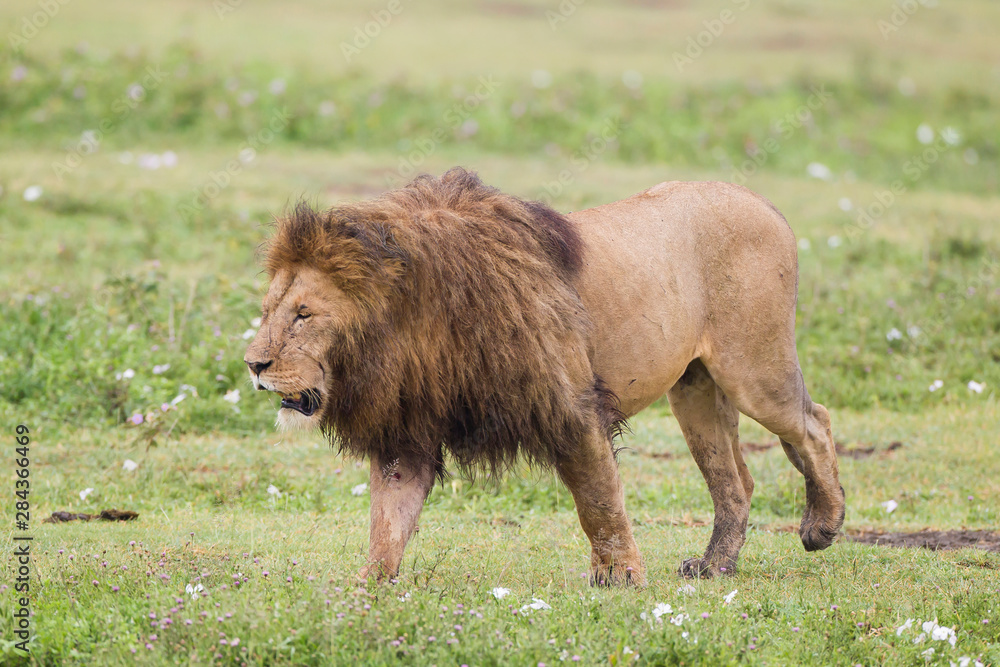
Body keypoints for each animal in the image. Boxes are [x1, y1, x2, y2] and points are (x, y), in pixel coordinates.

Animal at [244, 167, 844, 584]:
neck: (414, 328)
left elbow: (599, 501)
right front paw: (368, 590)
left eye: (304, 315)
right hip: (694, 390)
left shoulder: (570, 405)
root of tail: (762, 202)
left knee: (814, 422)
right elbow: (387, 522)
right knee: (735, 480)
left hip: (754, 369)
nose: (253, 364)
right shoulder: (407, 432)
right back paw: (715, 566)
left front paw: (621, 577)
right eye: (270, 310)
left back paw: (822, 526)